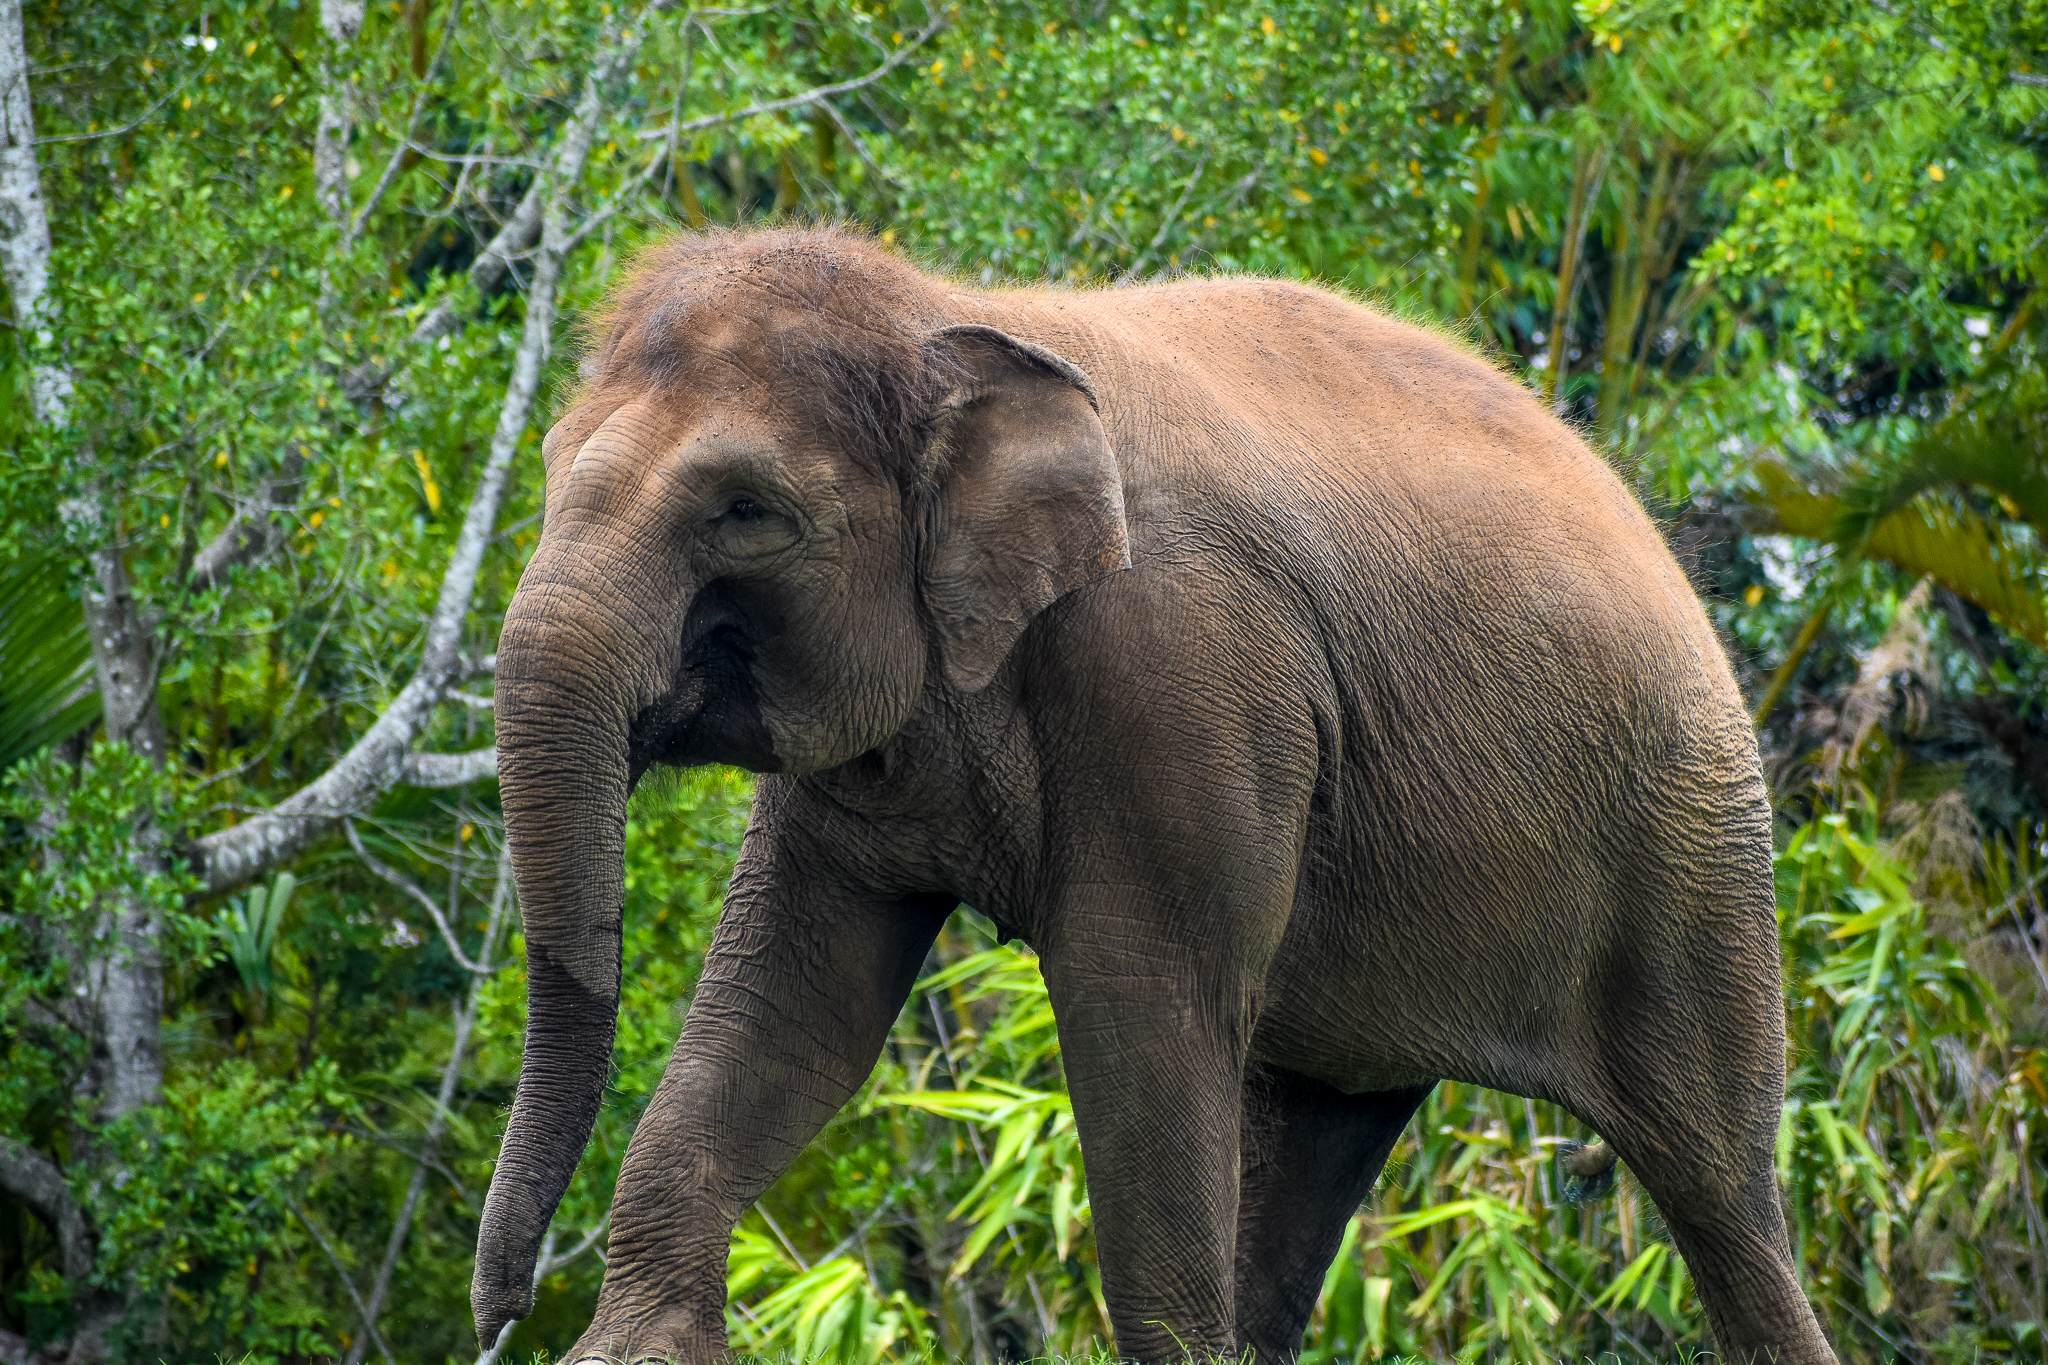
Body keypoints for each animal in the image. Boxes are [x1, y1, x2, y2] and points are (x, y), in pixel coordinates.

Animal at [471, 225, 1836, 1365]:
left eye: (745, 511)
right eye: (543, 468)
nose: (498, 1313)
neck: (945, 309)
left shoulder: (1188, 672)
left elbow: (1139, 1009)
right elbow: (794, 1002)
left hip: (1694, 846)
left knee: (1719, 1187)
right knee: (1313, 1139)